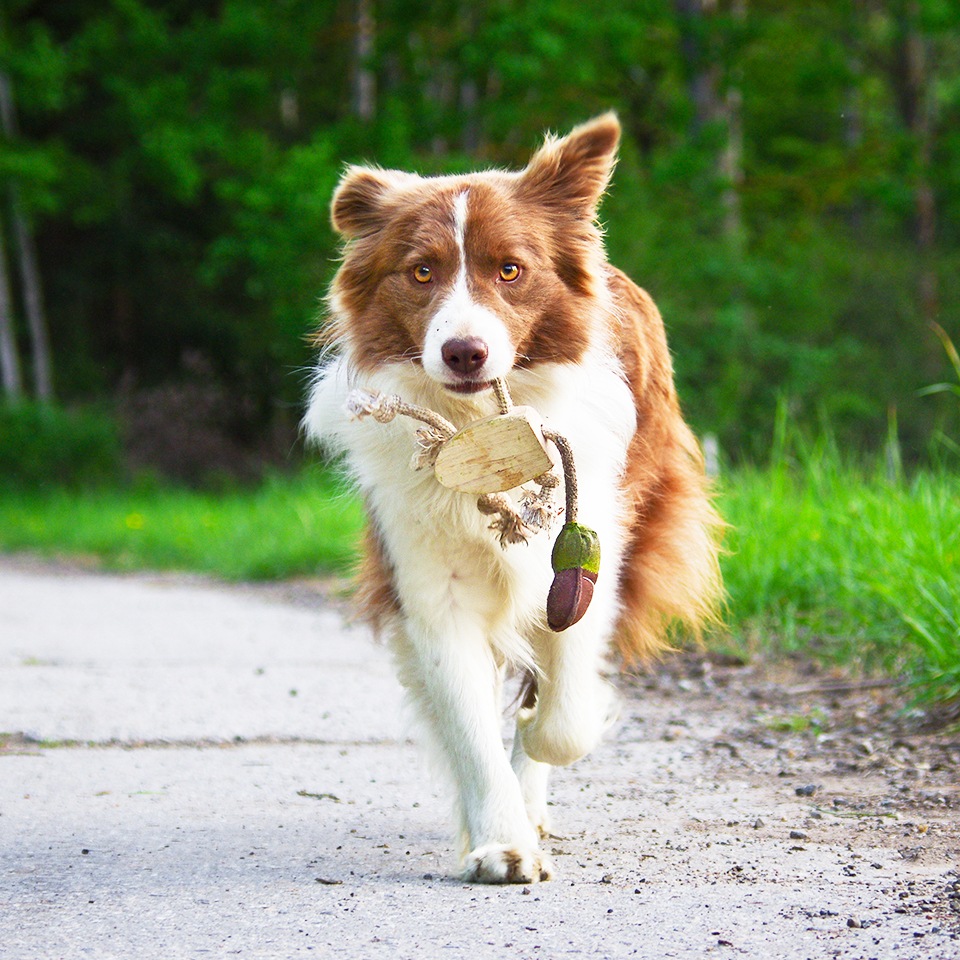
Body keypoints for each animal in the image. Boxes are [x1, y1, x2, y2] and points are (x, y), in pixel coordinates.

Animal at [306, 114, 720, 884]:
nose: (465, 352)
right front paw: (500, 842)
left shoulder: (584, 556)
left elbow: (564, 714)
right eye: (421, 271)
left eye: (509, 270)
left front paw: (534, 760)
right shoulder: (428, 581)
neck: (478, 422)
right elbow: (469, 723)